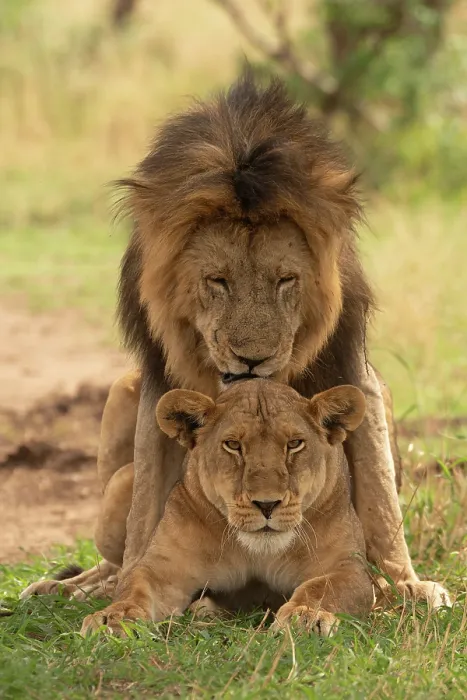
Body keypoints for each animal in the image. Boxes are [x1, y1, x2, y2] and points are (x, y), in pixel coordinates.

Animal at [22, 71, 449, 607]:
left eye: (285, 280)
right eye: (218, 281)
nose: (252, 361)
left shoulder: (351, 361)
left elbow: (378, 492)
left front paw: (405, 584)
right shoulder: (158, 374)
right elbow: (147, 507)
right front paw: (127, 589)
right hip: (118, 418)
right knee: (114, 542)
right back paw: (71, 587)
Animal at [80, 379, 374, 637]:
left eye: (294, 444)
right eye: (233, 445)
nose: (267, 504)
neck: (257, 552)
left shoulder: (349, 567)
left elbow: (321, 588)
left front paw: (305, 617)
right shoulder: (162, 568)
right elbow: (134, 588)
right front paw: (113, 618)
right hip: (121, 486)